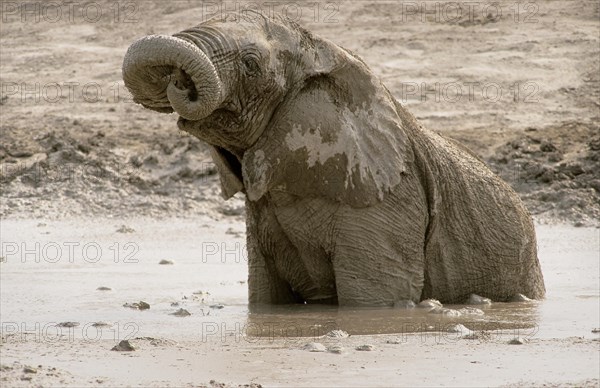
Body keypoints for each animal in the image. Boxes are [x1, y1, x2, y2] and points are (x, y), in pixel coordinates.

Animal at [122, 11, 544, 306]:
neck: (324, 50)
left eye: (251, 64)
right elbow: (265, 298)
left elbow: (373, 299)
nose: (178, 82)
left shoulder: (388, 202)